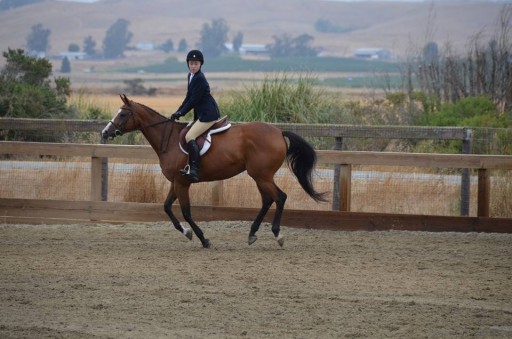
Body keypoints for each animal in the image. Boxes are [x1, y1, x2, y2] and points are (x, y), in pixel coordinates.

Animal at [103, 94, 328, 248]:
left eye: (122, 114)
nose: (105, 132)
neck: (168, 139)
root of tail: (279, 133)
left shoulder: (182, 183)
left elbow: (186, 212)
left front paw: (203, 239)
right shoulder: (176, 182)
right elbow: (167, 207)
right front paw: (186, 233)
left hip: (262, 176)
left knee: (280, 198)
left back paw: (277, 234)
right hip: (259, 176)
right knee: (267, 200)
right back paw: (252, 233)